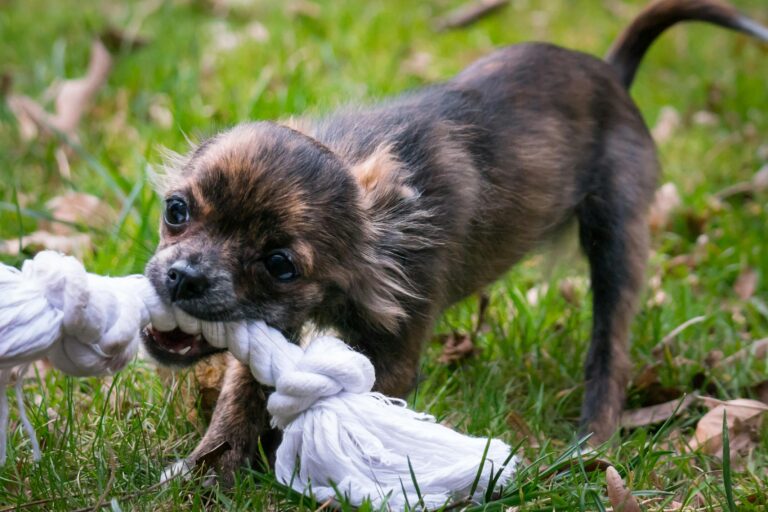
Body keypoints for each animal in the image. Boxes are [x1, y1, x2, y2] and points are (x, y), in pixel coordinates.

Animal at [141, 0, 764, 484]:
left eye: (280, 264)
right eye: (176, 211)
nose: (183, 277)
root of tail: (612, 74)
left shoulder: (392, 352)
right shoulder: (273, 331)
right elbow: (239, 399)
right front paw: (208, 474)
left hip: (618, 239)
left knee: (609, 348)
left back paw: (592, 440)